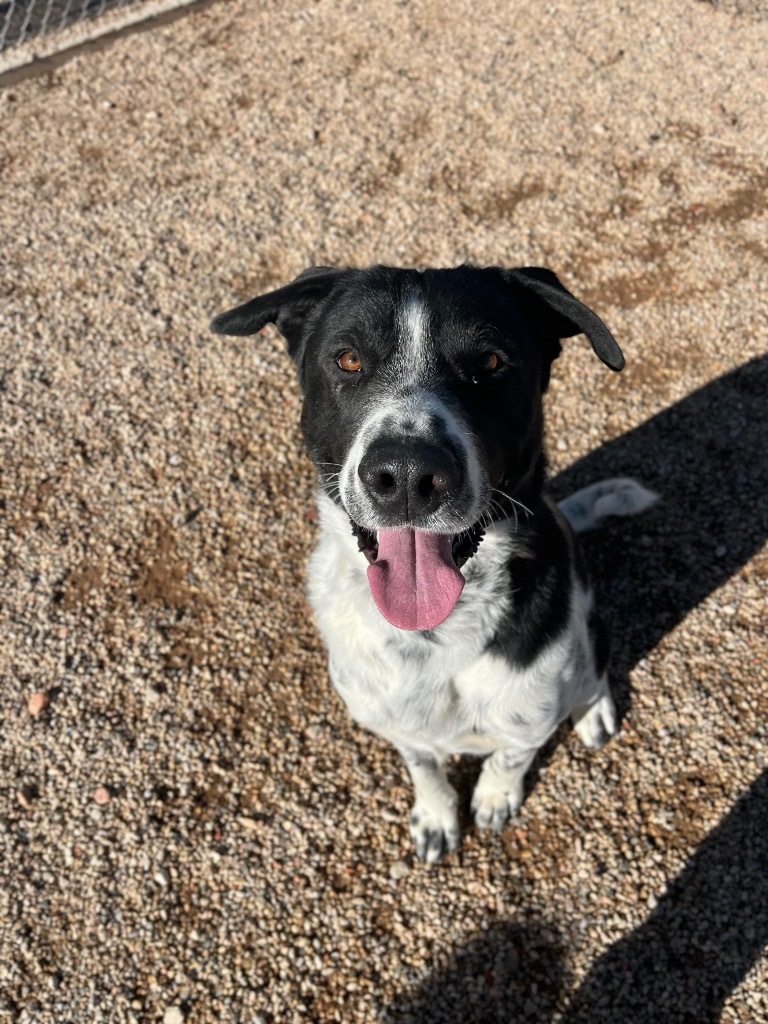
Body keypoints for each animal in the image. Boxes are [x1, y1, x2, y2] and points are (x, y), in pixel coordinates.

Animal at [210, 266, 655, 864]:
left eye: (490, 361)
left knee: (595, 665)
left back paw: (595, 711)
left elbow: (510, 756)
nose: (406, 474)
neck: (434, 637)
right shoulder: (396, 725)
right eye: (347, 359)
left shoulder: (530, 722)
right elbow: (422, 765)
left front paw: (494, 796)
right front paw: (438, 815)